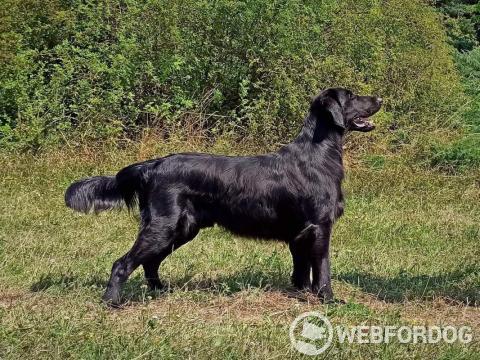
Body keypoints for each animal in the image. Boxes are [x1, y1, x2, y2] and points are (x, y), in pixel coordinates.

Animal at [66, 87, 382, 304]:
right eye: (351, 96)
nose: (380, 99)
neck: (318, 153)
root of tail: (153, 165)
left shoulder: (300, 232)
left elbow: (303, 269)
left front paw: (302, 293)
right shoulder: (320, 226)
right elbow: (323, 269)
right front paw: (329, 299)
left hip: (182, 229)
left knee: (150, 262)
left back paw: (160, 290)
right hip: (163, 226)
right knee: (123, 263)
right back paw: (112, 302)